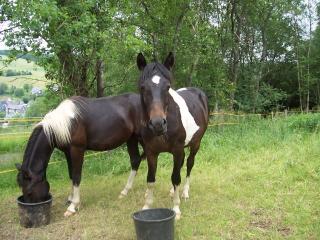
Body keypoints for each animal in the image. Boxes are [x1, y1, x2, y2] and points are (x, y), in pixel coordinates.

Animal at [15, 93, 144, 216]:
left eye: (29, 192)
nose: (30, 210)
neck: (66, 123)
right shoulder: (68, 152)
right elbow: (71, 174)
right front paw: (71, 199)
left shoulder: (77, 150)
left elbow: (77, 176)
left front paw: (73, 206)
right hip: (131, 139)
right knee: (135, 160)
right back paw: (125, 191)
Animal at [136, 52, 209, 219]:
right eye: (143, 87)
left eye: (168, 87)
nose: (157, 124)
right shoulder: (151, 152)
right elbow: (151, 179)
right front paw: (147, 206)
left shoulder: (177, 150)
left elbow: (176, 177)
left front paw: (176, 209)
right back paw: (172, 191)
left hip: (195, 144)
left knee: (189, 164)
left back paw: (185, 192)